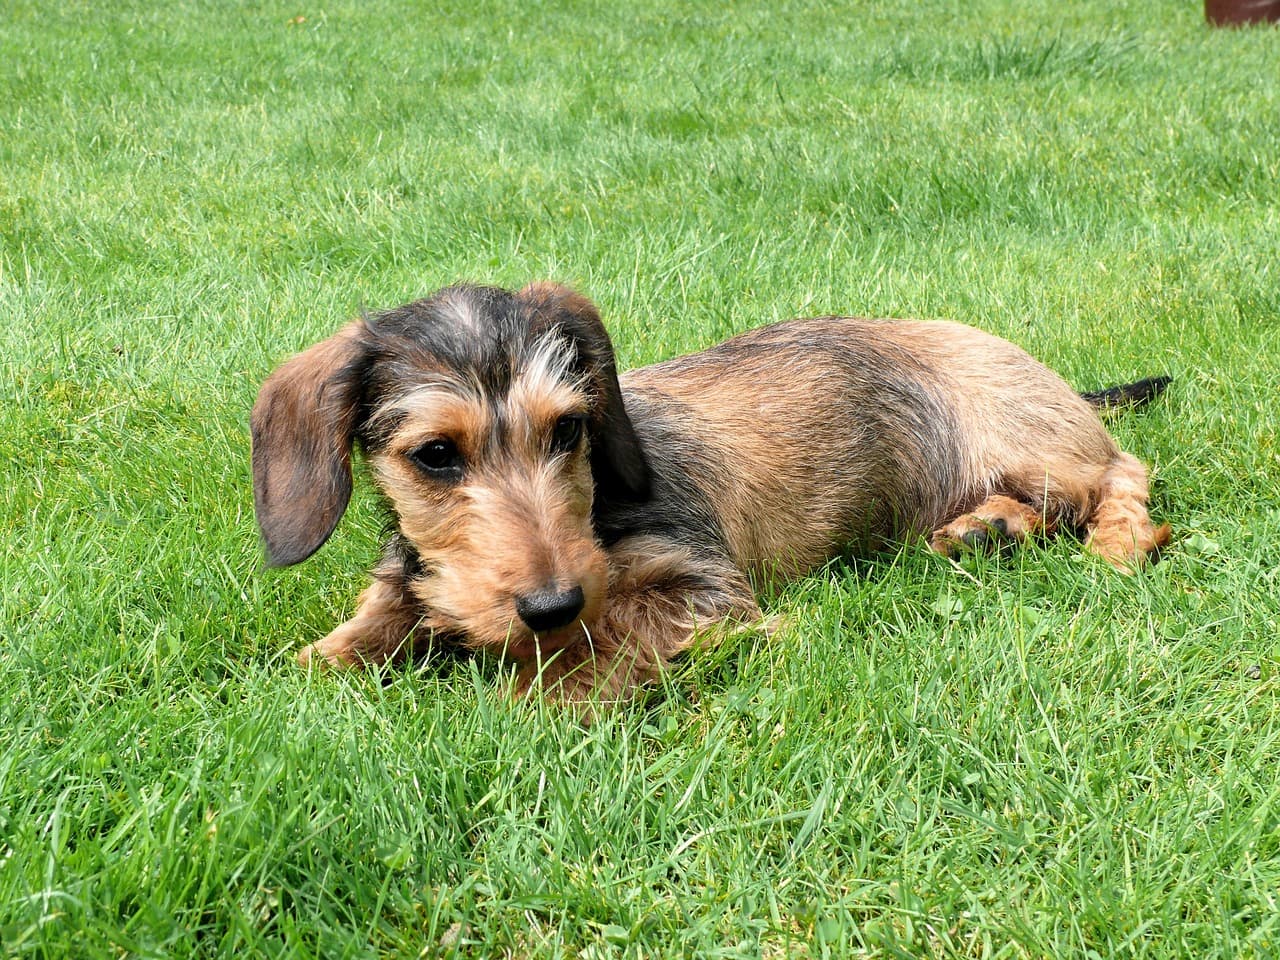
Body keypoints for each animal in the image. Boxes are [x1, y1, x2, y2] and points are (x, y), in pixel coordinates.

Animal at [249, 281, 1172, 711]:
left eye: (567, 430)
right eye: (435, 455)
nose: (552, 605)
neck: (597, 513)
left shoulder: (705, 587)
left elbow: (618, 634)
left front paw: (544, 692)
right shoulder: (414, 578)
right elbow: (366, 628)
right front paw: (310, 665)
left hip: (1034, 441)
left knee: (1124, 473)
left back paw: (1117, 542)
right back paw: (989, 527)